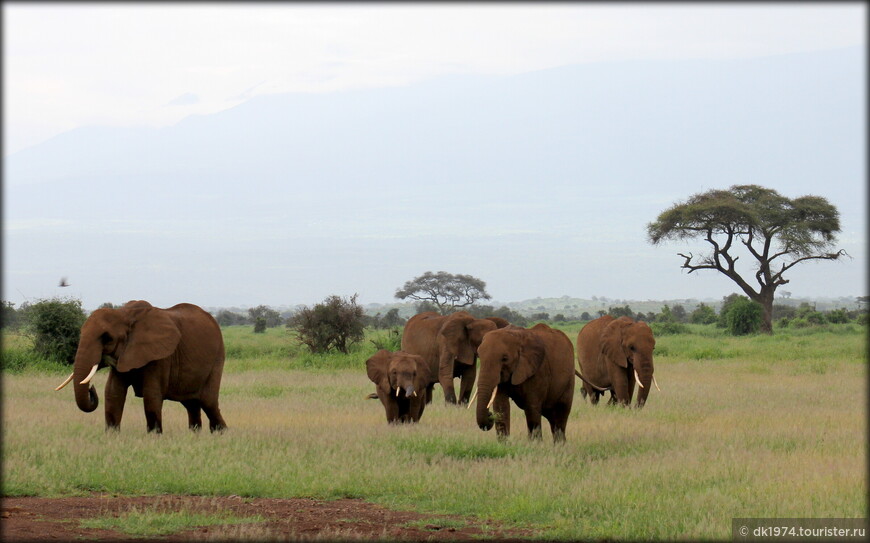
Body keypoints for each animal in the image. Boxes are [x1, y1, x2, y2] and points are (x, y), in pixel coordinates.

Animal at [54, 302, 228, 434]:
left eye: (107, 338)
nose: (91, 388)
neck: (125, 314)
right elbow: (113, 393)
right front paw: (112, 436)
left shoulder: (160, 356)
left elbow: (151, 395)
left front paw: (154, 437)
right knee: (191, 404)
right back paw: (195, 434)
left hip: (217, 358)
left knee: (208, 402)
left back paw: (220, 434)